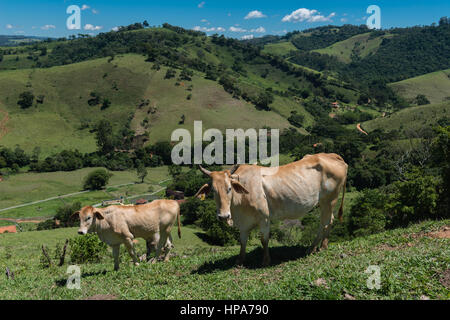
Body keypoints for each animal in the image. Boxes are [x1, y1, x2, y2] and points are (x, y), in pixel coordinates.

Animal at [195, 152, 346, 264]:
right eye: (213, 191)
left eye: (229, 188)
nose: (223, 216)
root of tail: (331, 155)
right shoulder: (244, 224)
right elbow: (243, 241)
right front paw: (240, 260)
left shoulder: (264, 218)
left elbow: (264, 240)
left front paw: (266, 260)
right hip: (324, 202)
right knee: (328, 221)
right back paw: (316, 247)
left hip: (329, 200)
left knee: (326, 222)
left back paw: (318, 247)